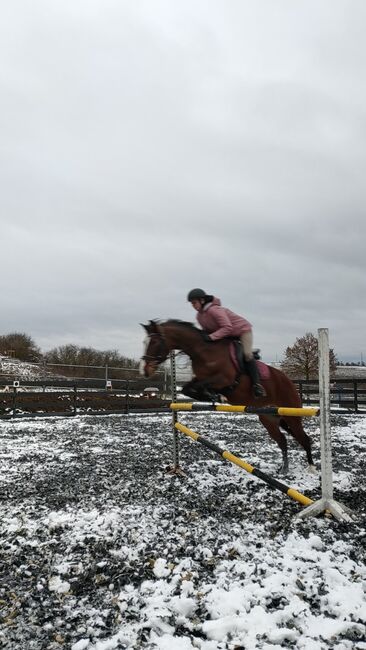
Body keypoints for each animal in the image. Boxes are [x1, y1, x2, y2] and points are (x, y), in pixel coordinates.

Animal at [140, 318, 314, 474]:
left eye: (154, 342)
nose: (146, 371)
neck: (203, 351)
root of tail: (289, 381)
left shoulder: (224, 379)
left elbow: (200, 386)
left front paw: (216, 397)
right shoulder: (199, 379)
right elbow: (187, 389)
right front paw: (213, 397)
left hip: (291, 415)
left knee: (303, 438)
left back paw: (311, 467)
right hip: (268, 418)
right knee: (283, 441)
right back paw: (284, 469)